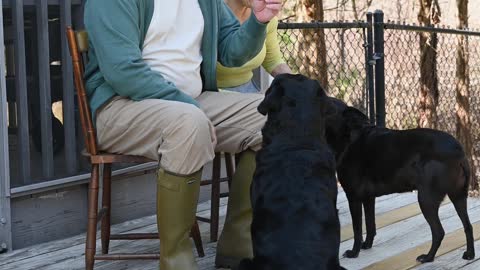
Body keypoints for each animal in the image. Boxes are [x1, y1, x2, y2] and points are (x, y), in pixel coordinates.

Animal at [324, 105, 474, 264]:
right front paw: (367, 245)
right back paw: (469, 254)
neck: (349, 137)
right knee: (468, 226)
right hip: (458, 196)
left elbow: (357, 230)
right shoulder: (368, 198)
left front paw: (354, 252)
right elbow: (370, 225)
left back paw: (428, 257)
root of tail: (459, 152)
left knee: (439, 232)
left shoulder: (353, 197)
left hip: (426, 200)